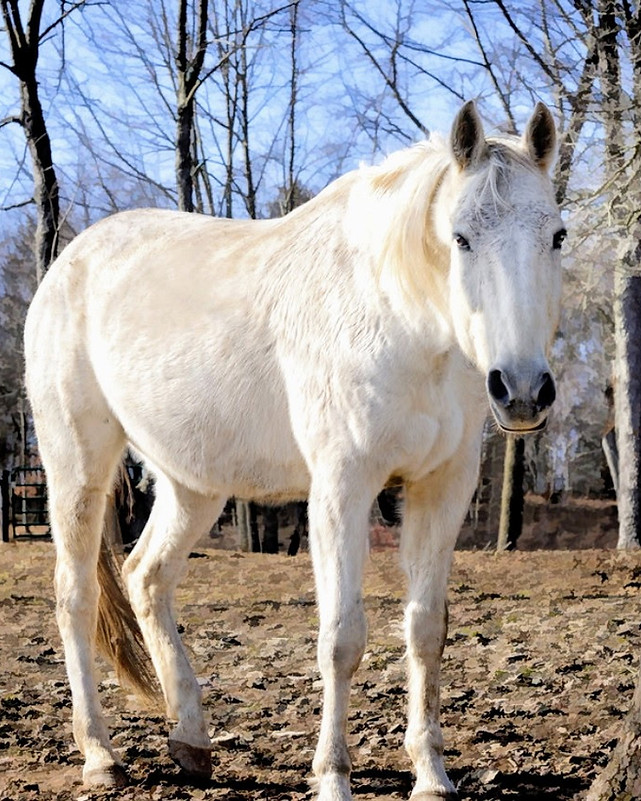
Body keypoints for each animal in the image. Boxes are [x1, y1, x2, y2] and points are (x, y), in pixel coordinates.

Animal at [24, 100, 564, 800]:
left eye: (556, 236)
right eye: (461, 237)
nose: (522, 389)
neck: (397, 319)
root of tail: (68, 262)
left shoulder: (442, 488)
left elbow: (426, 630)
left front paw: (431, 774)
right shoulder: (341, 488)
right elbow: (341, 638)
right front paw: (332, 775)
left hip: (192, 484)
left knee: (147, 577)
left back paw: (191, 741)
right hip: (78, 469)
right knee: (76, 596)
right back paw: (99, 754)